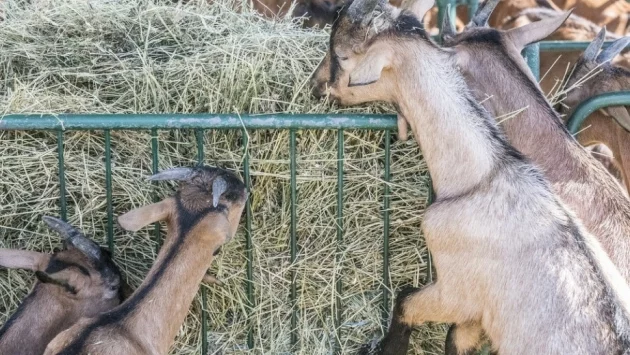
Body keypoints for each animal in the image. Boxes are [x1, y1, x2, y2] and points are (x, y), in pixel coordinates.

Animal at [312, 0, 630, 354]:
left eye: (341, 55)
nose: (315, 86)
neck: (482, 176)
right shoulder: (474, 319)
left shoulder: (453, 292)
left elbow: (405, 300)